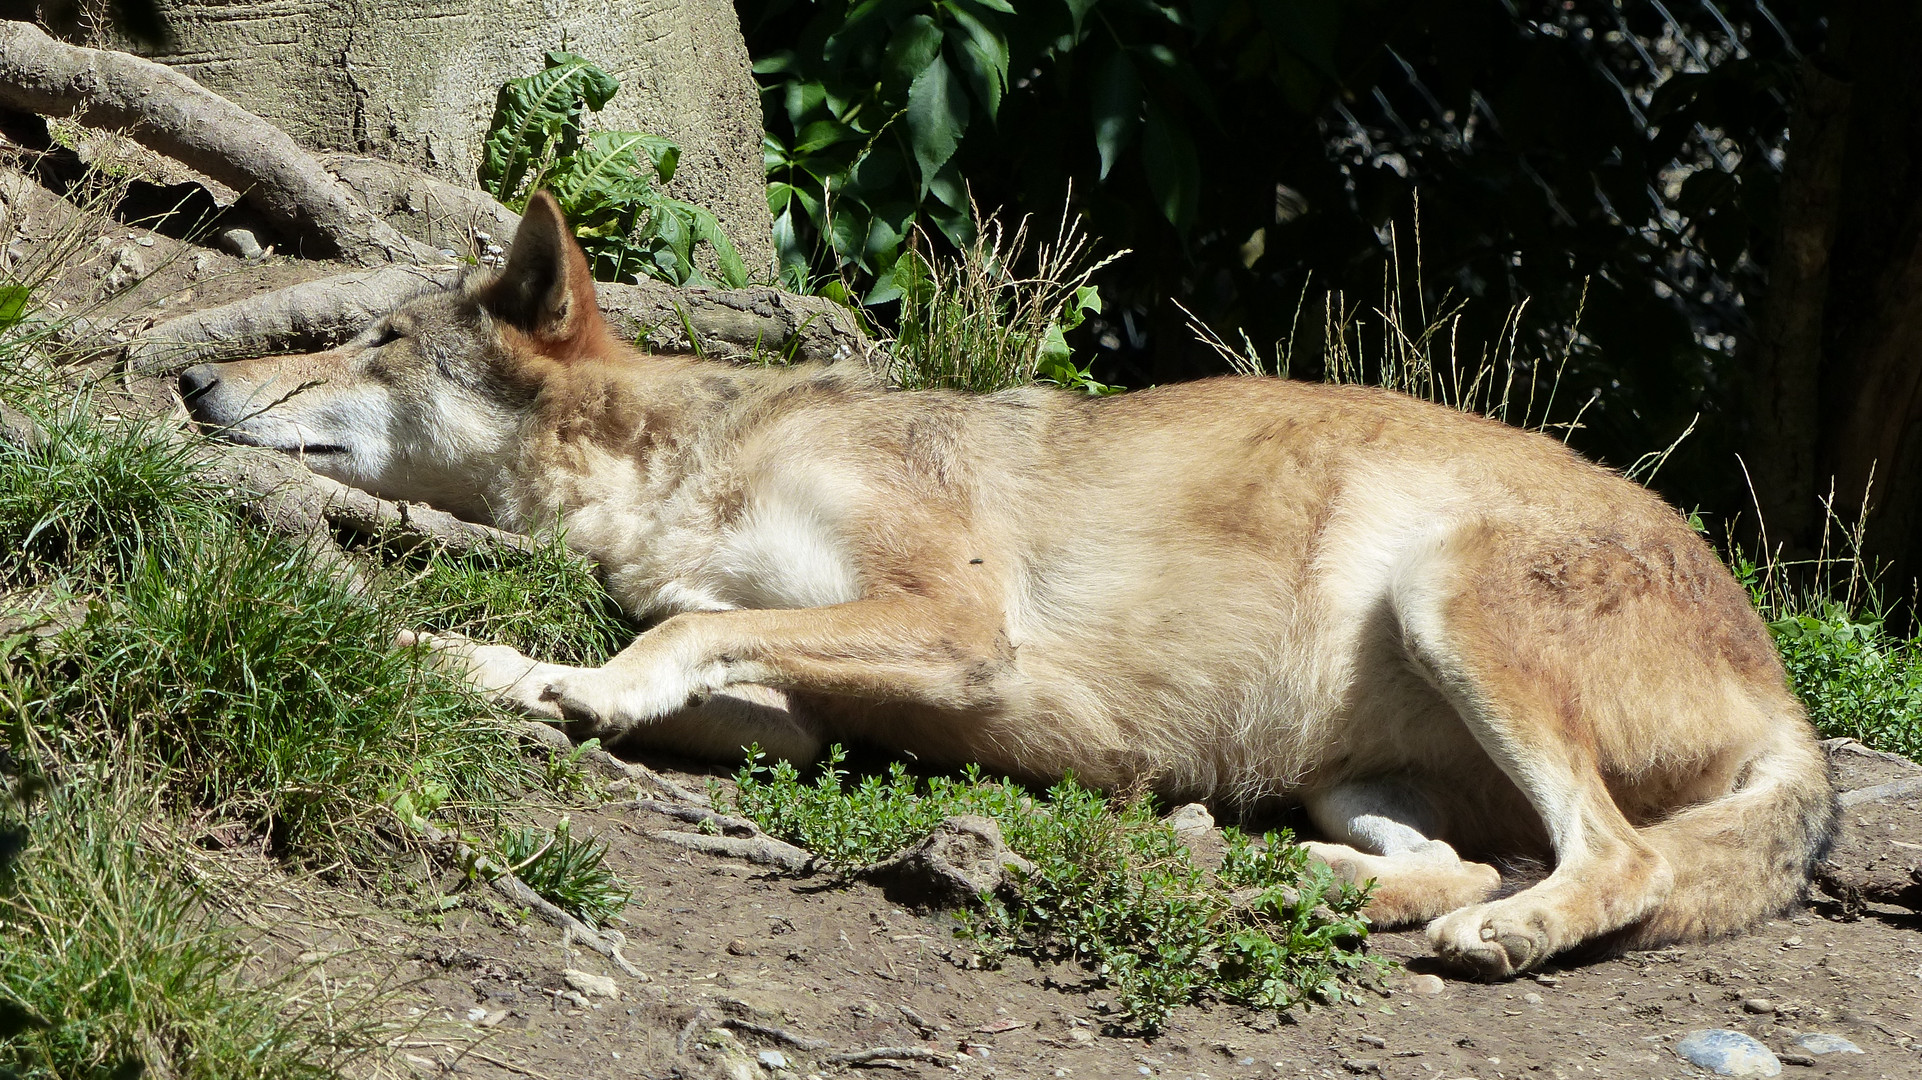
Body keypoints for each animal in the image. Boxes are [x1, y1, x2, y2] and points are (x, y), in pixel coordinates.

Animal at [180, 193, 1829, 976]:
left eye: (377, 342)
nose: (192, 377)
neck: (691, 466)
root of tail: (1790, 703)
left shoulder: (957, 627)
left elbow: (677, 628)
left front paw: (557, 679)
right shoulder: (795, 706)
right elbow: (652, 658)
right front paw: (476, 664)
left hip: (1443, 601)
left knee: (1607, 864)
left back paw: (1489, 934)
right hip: (1354, 764)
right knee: (1467, 862)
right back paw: (1261, 869)